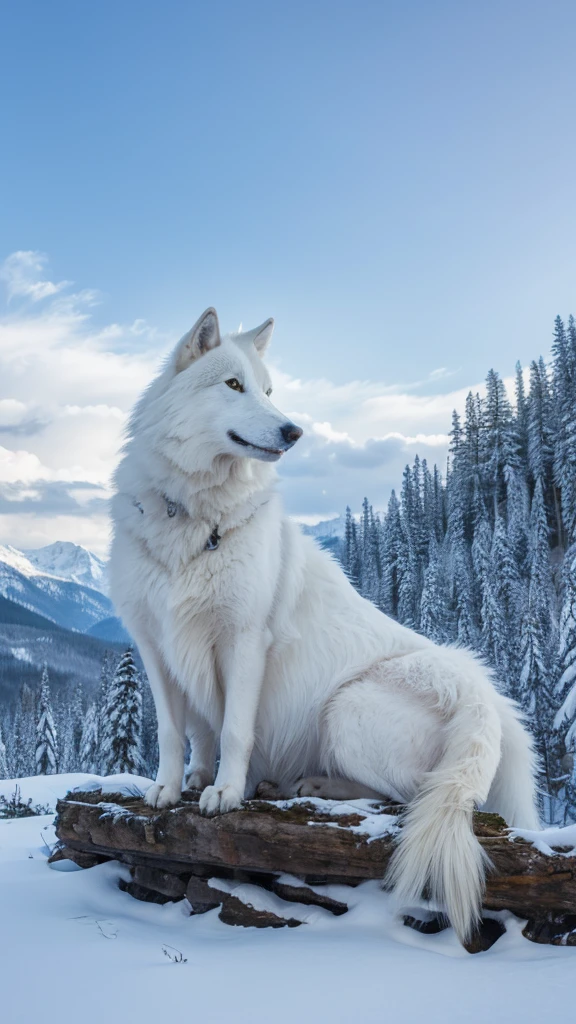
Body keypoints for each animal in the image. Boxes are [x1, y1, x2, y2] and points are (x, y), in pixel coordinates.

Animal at [108, 305, 537, 942]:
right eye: (233, 385)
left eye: (268, 390)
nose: (293, 432)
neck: (195, 516)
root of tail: (485, 701)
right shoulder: (158, 646)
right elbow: (179, 731)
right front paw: (175, 785)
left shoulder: (243, 641)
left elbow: (233, 730)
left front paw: (225, 793)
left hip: (346, 708)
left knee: (412, 799)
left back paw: (311, 785)